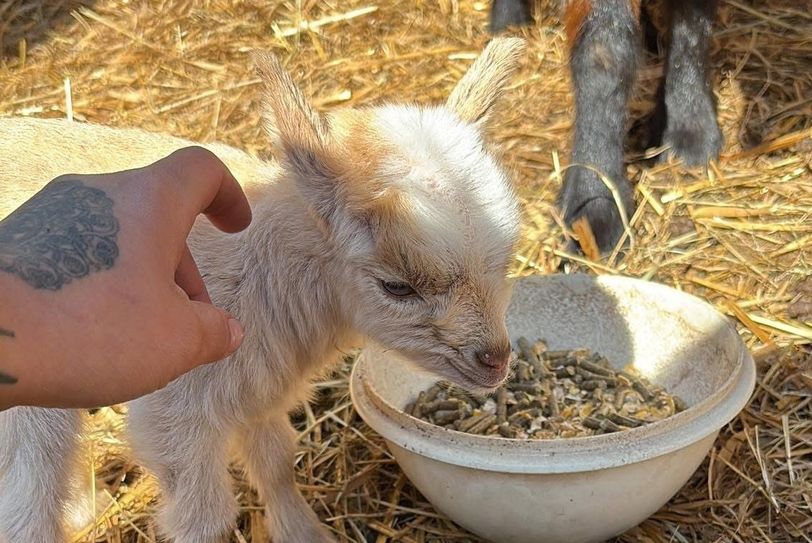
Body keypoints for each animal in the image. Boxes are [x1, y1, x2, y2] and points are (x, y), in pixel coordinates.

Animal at [0, 38, 524, 543]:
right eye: (396, 286)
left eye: (504, 260)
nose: (496, 360)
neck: (268, 269)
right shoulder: (174, 415)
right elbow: (204, 519)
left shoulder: (258, 389)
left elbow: (276, 466)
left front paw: (306, 534)